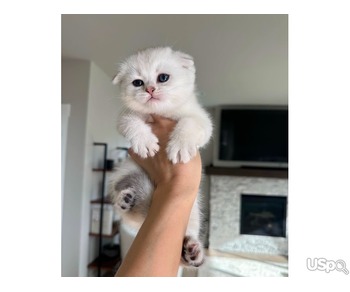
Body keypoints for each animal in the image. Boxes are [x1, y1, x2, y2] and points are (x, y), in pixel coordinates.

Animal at [110, 46, 212, 268]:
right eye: (137, 83)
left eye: (163, 78)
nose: (150, 89)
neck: (163, 112)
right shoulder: (124, 117)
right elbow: (131, 121)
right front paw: (145, 142)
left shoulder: (202, 121)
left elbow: (189, 123)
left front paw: (180, 145)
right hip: (127, 174)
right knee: (127, 202)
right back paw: (127, 199)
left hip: (192, 212)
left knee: (188, 237)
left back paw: (192, 251)